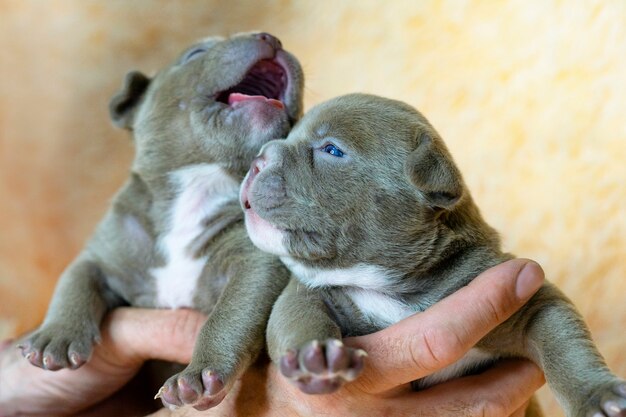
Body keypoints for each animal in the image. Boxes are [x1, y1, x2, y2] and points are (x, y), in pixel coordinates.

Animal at [18, 32, 302, 410]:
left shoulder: (256, 265)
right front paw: (56, 335)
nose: (271, 37)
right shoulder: (105, 253)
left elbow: (230, 315)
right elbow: (75, 282)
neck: (200, 185)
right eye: (196, 53)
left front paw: (199, 374)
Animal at [240, 93, 624, 416]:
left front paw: (597, 394)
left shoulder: (529, 300)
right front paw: (315, 356)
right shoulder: (307, 292)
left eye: (332, 150)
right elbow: (296, 315)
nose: (257, 159)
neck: (388, 284)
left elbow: (565, 343)